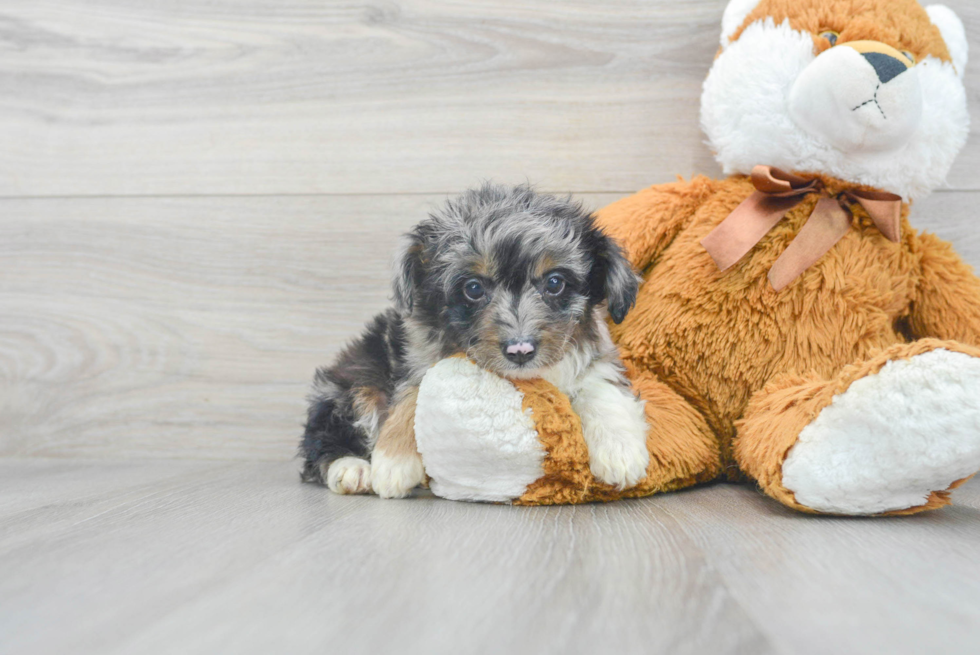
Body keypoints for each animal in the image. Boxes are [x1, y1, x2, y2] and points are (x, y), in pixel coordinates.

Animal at [298, 182, 652, 500]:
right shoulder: (417, 354)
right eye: (473, 288)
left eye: (555, 283)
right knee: (321, 440)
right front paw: (393, 461)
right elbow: (413, 391)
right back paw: (353, 468)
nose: (520, 350)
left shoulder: (598, 357)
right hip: (350, 381)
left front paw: (620, 451)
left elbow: (602, 388)